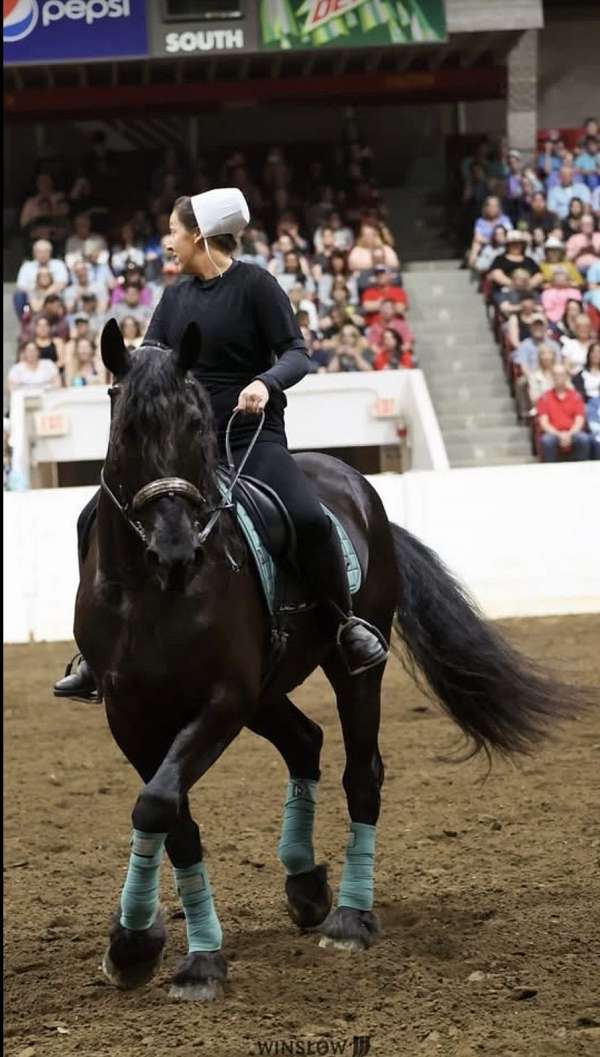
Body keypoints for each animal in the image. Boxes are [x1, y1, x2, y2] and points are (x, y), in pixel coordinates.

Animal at [75, 318, 585, 1001]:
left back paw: (349, 916)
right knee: (305, 742)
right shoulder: (130, 711)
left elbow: (158, 802)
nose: (177, 551)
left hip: (347, 673)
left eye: (197, 426)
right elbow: (170, 812)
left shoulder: (222, 699)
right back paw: (305, 884)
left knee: (361, 772)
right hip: (266, 693)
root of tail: (354, 483)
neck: (152, 593)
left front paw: (181, 955)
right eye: (127, 429)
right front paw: (141, 948)